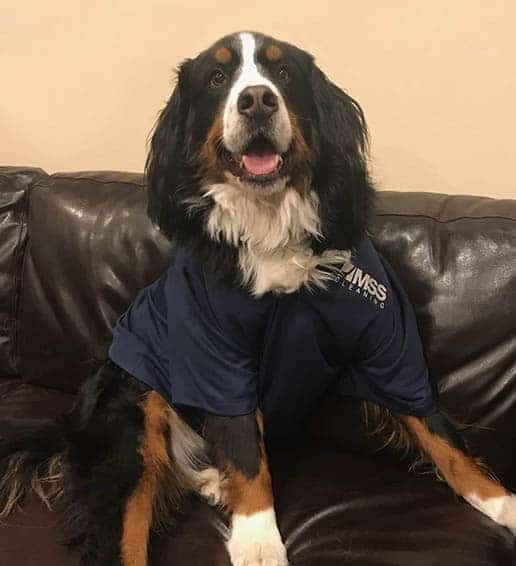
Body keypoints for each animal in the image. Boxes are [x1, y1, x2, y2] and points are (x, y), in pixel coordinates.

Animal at [1, 30, 516, 566]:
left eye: (282, 71)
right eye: (217, 77)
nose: (257, 100)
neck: (270, 222)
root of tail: (69, 425)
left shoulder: (387, 341)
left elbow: (438, 432)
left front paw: (500, 503)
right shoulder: (218, 358)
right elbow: (247, 450)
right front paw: (258, 539)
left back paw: (212, 482)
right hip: (130, 416)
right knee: (125, 531)